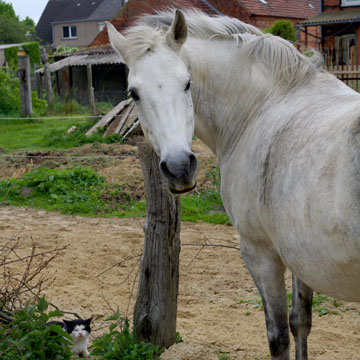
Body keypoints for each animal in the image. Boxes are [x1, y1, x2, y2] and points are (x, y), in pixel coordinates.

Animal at [107, 9, 360, 358]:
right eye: (134, 93)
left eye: (187, 83)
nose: (179, 167)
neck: (264, 105)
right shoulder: (298, 253)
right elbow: (301, 323)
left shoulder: (261, 254)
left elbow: (279, 338)